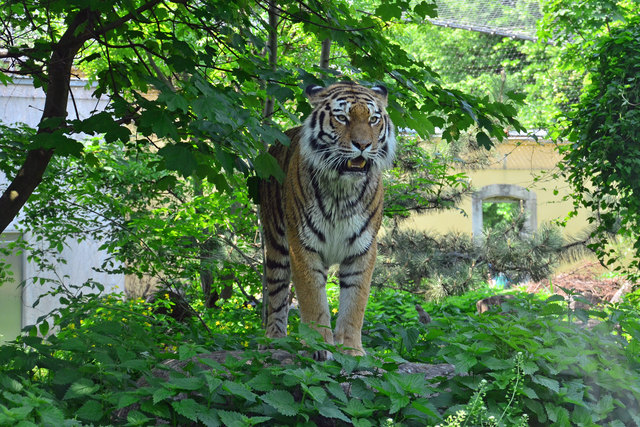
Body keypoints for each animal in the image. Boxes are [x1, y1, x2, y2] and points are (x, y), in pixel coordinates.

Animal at [259, 81, 396, 358]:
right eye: (342, 118)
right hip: (276, 244)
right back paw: (274, 340)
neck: (342, 189)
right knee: (277, 295)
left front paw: (351, 350)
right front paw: (319, 347)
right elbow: (313, 299)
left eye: (373, 119)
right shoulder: (302, 245)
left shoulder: (363, 248)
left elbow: (355, 303)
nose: (363, 144)